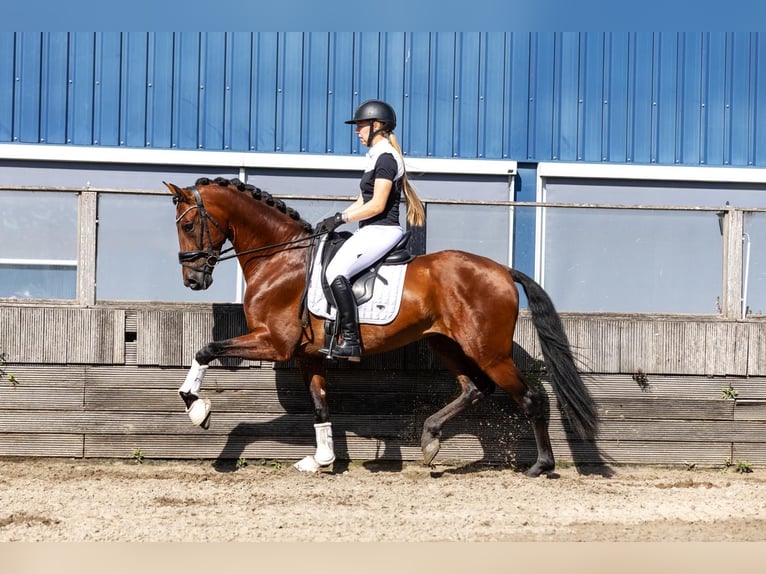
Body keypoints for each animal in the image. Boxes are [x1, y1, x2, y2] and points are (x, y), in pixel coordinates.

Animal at [165, 176, 599, 477]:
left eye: (187, 227)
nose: (193, 279)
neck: (280, 257)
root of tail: (503, 271)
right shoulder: (307, 356)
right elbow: (320, 405)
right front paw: (322, 459)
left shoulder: (275, 342)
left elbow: (206, 349)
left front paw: (197, 409)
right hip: (447, 344)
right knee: (475, 388)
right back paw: (429, 440)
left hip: (488, 351)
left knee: (530, 399)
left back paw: (541, 466)